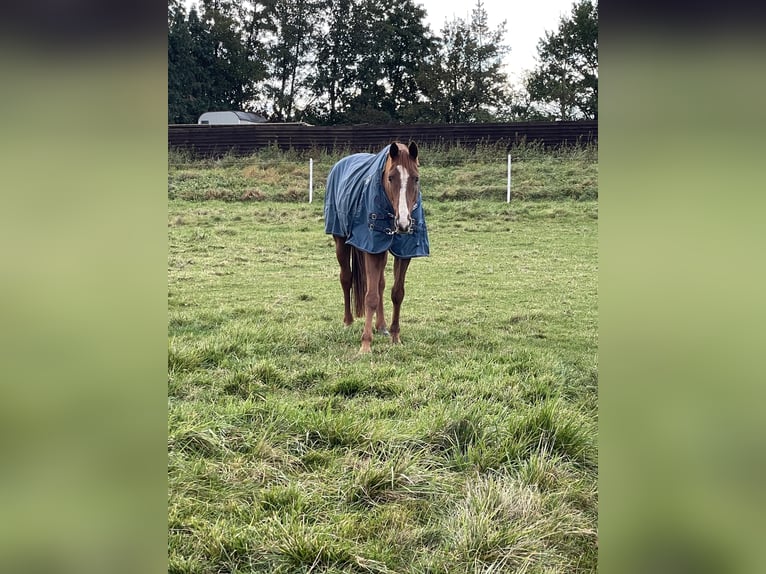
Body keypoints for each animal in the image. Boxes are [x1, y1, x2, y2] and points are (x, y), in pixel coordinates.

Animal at [324, 142, 432, 354]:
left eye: (416, 178)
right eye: (390, 178)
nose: (404, 223)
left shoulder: (403, 252)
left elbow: (397, 293)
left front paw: (396, 337)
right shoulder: (371, 249)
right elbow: (371, 297)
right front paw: (365, 344)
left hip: (381, 251)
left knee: (380, 283)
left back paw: (381, 326)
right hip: (342, 241)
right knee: (346, 278)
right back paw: (348, 322)